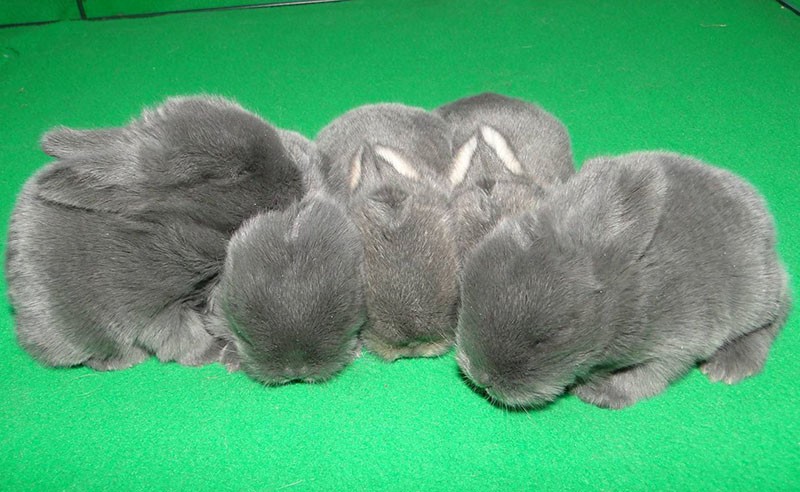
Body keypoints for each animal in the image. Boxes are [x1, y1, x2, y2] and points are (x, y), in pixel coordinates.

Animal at [5, 96, 306, 370]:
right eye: (236, 172)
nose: (297, 177)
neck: (173, 223)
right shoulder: (158, 312)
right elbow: (185, 339)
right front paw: (213, 353)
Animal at [460, 152, 792, 410]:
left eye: (550, 337)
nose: (481, 377)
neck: (622, 296)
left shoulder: (678, 342)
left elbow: (647, 377)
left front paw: (600, 392)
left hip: (757, 294)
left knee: (777, 314)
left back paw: (730, 366)